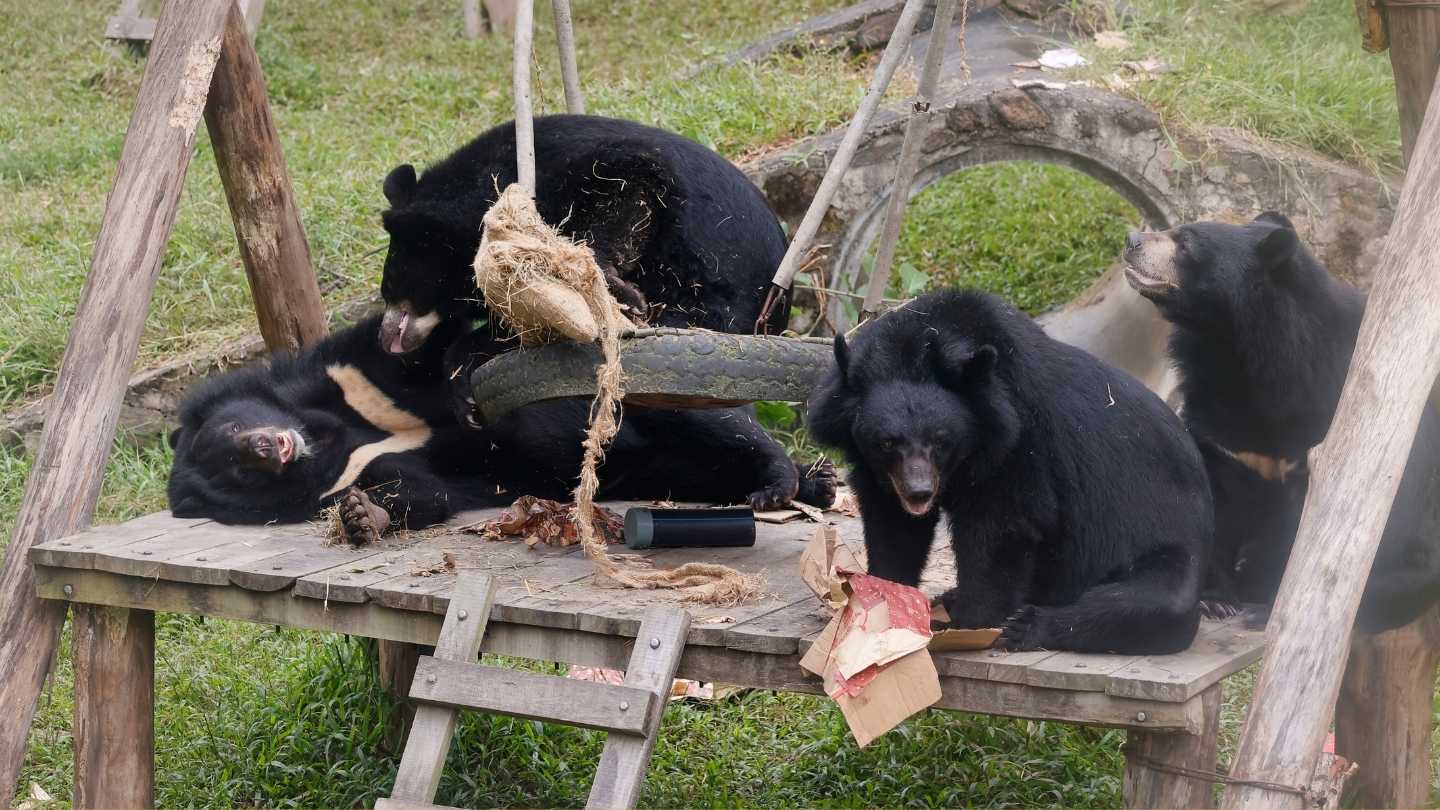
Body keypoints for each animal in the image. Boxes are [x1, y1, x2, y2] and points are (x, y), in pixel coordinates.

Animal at [377, 113, 790, 355]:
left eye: (394, 286)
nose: (385, 339)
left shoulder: (597, 172)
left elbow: (629, 189)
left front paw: (621, 296)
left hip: (716, 290)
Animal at [807, 289, 1213, 654]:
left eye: (940, 439)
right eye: (888, 442)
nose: (919, 492)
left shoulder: (1021, 441)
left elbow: (1002, 526)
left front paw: (972, 621)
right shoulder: (876, 466)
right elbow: (892, 524)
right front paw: (886, 595)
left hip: (1164, 545)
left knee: (1156, 602)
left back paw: (1024, 626)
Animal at [1123, 212, 1440, 632]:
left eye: (1186, 242)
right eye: (1174, 229)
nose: (1132, 240)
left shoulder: (1322, 412)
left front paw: (1265, 606)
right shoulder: (1221, 424)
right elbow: (1215, 496)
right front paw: (1215, 601)